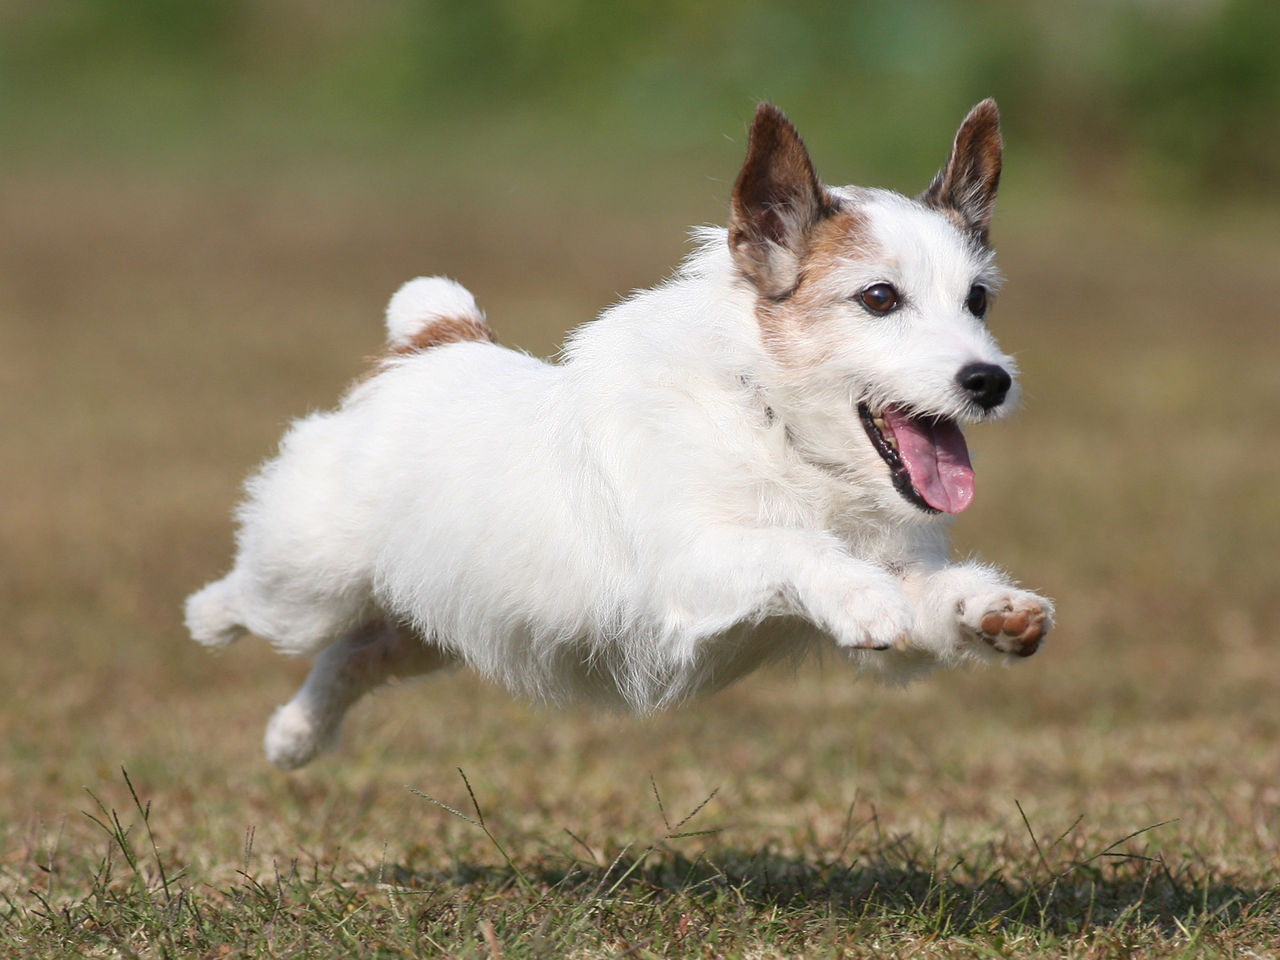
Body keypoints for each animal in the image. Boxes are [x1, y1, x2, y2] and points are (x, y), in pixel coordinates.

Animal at [186, 101, 1049, 773]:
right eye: (878, 298)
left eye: (977, 300)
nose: (989, 381)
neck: (773, 427)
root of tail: (431, 344)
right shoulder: (691, 561)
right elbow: (793, 547)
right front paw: (857, 591)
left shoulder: (897, 598)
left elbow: (932, 603)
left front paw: (995, 608)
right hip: (309, 584)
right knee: (254, 602)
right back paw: (209, 623)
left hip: (430, 624)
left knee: (353, 656)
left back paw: (293, 737)